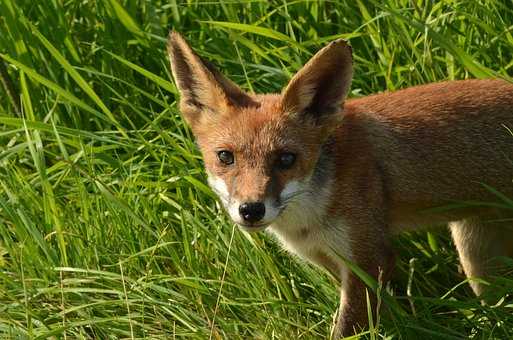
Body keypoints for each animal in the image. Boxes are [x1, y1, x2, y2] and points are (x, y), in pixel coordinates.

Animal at [167, 31, 512, 338]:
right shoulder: (328, 258)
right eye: (225, 157)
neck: (310, 216)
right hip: (476, 255)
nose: (251, 209)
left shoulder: (369, 256)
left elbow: (347, 327)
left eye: (286, 159)